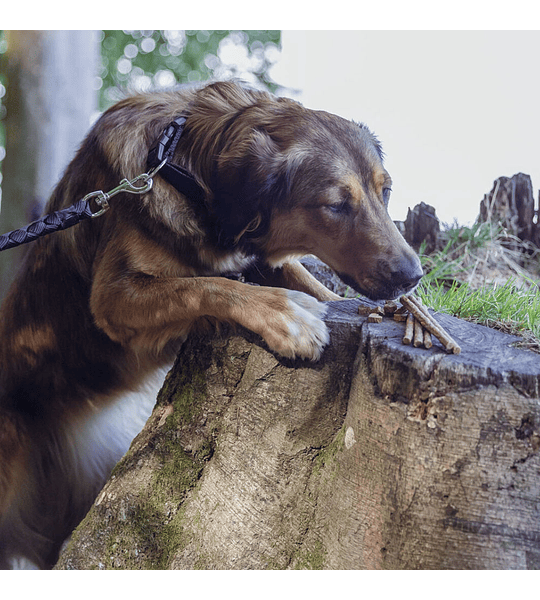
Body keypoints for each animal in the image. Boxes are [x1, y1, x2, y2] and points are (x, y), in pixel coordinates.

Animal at [0, 79, 422, 568]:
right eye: (335, 205)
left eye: (385, 191)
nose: (414, 276)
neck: (177, 164)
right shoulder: (112, 297)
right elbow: (206, 285)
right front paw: (285, 314)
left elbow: (305, 280)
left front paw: (349, 305)